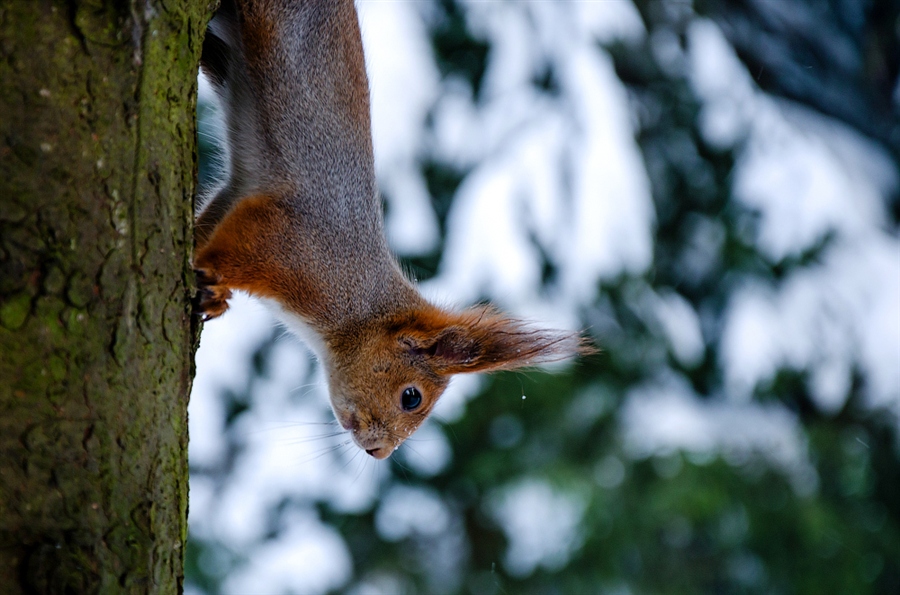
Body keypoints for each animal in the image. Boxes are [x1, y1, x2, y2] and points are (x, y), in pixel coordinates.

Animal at [195, 0, 592, 460]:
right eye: (411, 397)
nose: (381, 452)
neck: (355, 310)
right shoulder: (289, 245)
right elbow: (228, 249)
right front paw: (208, 278)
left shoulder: (237, 194)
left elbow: (211, 220)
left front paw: (213, 291)